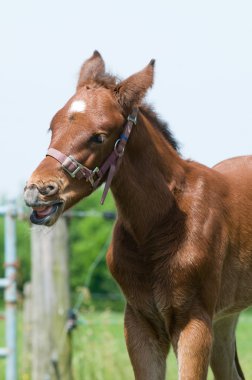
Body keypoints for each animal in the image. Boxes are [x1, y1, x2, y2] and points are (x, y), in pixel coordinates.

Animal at [24, 51, 252, 380]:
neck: (158, 226)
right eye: (52, 127)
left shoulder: (194, 322)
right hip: (225, 318)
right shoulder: (139, 323)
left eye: (99, 137)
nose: (38, 191)